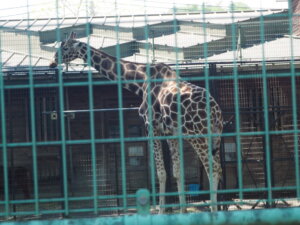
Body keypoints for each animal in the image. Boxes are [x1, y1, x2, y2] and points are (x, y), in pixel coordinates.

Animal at [49, 32, 223, 214]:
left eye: (65, 48)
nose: (52, 62)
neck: (141, 81)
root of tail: (216, 112)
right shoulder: (171, 133)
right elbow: (177, 171)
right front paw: (182, 212)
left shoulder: (151, 126)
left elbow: (161, 173)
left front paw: (160, 211)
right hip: (215, 137)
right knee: (218, 168)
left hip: (199, 137)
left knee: (212, 169)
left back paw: (214, 211)